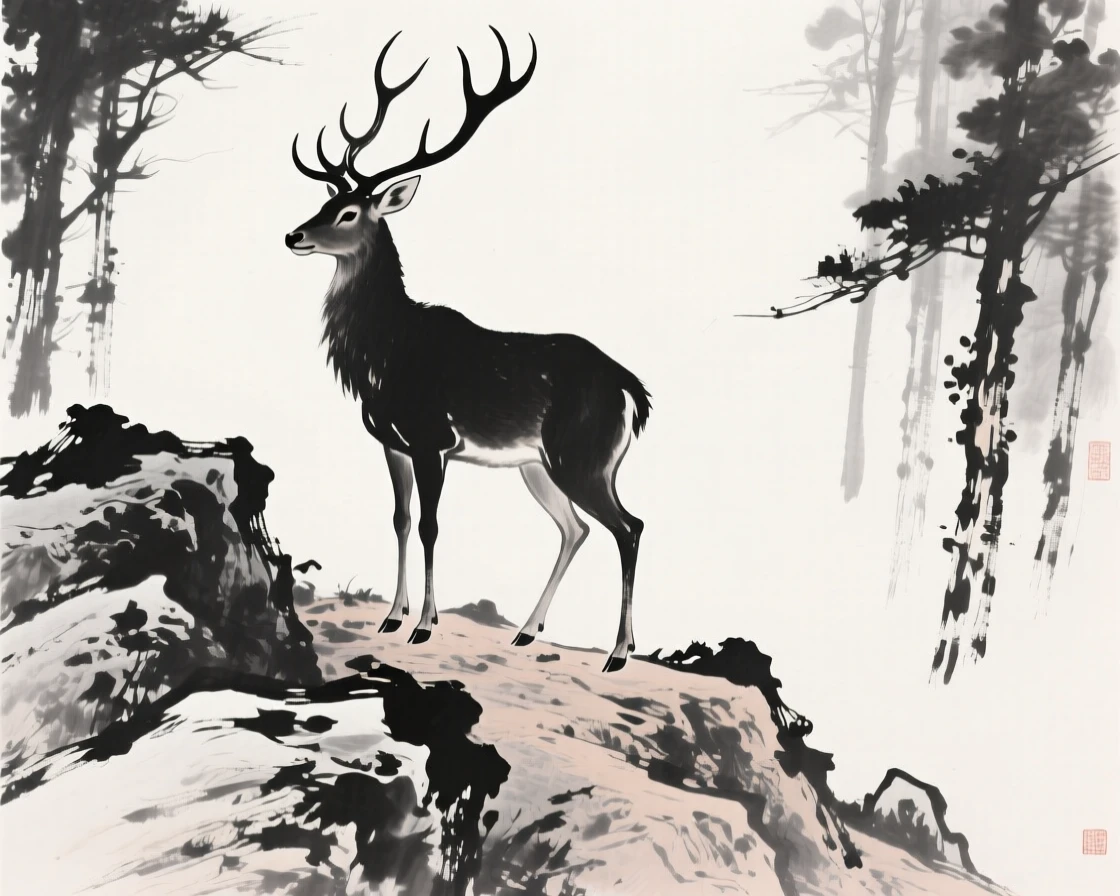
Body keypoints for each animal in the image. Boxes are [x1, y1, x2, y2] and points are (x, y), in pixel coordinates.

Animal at [284, 29, 650, 672]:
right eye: (325, 203)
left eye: (348, 212)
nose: (293, 234)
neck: (385, 357)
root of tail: (633, 392)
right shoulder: (392, 442)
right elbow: (401, 520)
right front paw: (391, 617)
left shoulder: (434, 438)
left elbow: (431, 525)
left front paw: (423, 626)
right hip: (539, 465)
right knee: (576, 529)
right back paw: (527, 632)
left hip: (583, 457)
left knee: (629, 526)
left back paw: (617, 654)